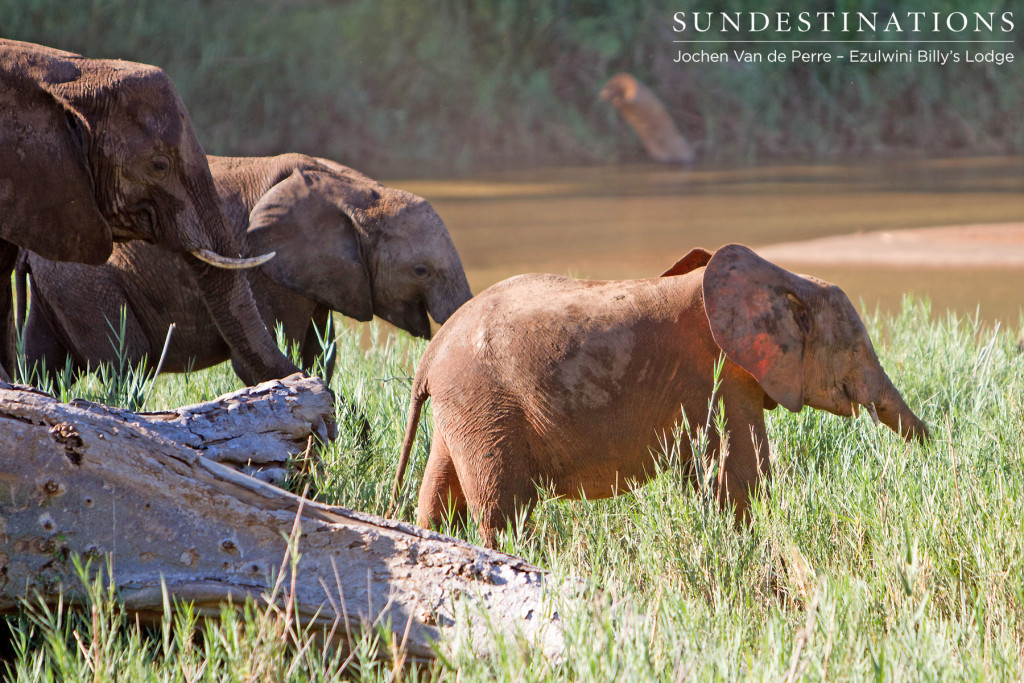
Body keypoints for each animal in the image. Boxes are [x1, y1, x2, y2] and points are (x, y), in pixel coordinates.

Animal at [17, 154, 471, 387]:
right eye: (420, 270)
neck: (357, 189)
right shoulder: (263, 271)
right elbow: (266, 358)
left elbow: (320, 353)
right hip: (87, 282)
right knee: (128, 366)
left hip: (61, 287)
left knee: (45, 366)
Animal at [389, 242, 929, 548]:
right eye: (855, 348)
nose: (937, 447)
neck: (782, 277)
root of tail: (430, 355)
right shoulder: (716, 377)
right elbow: (741, 476)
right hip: (486, 402)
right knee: (503, 508)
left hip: (464, 406)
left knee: (440, 495)